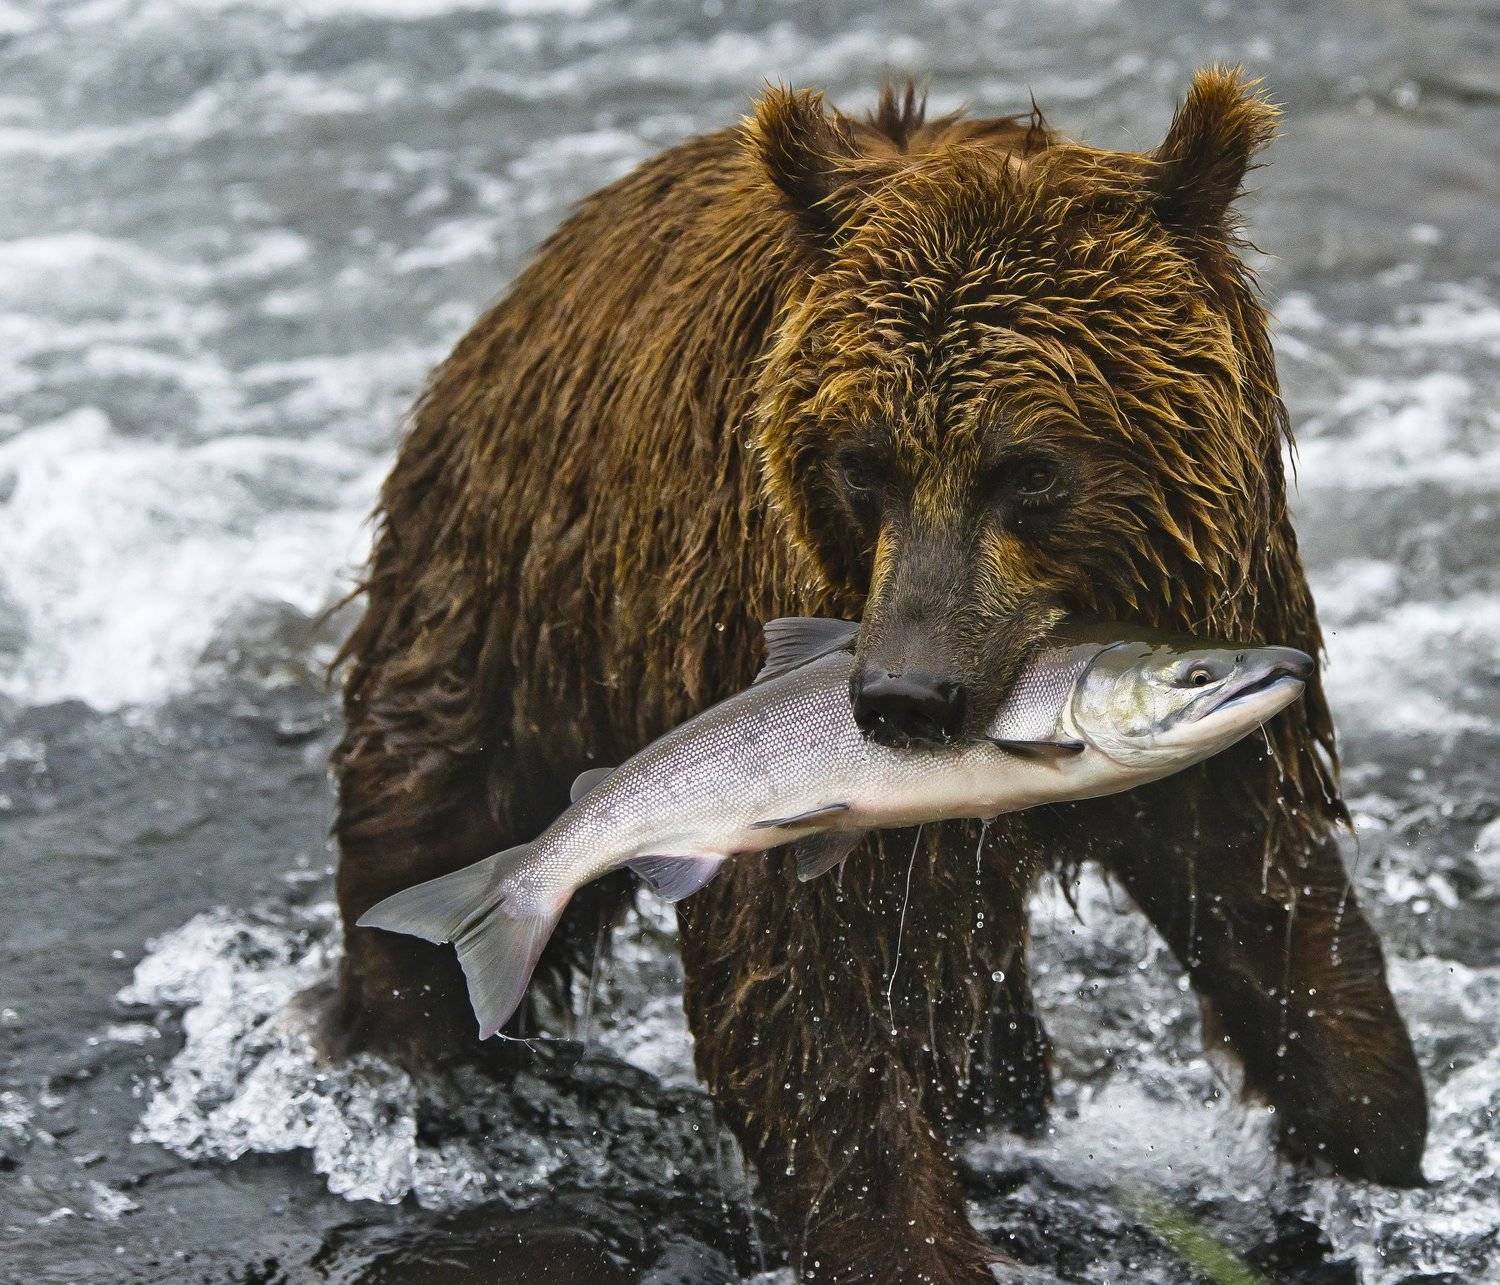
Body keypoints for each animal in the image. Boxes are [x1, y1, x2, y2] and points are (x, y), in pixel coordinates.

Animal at [329, 68, 1427, 1282]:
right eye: (863, 464)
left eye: (1031, 470)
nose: (903, 697)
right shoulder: (750, 642)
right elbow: (814, 1016)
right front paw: (907, 1232)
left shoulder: (1225, 638)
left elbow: (1273, 910)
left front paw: (1370, 1136)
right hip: (509, 595)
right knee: (430, 807)